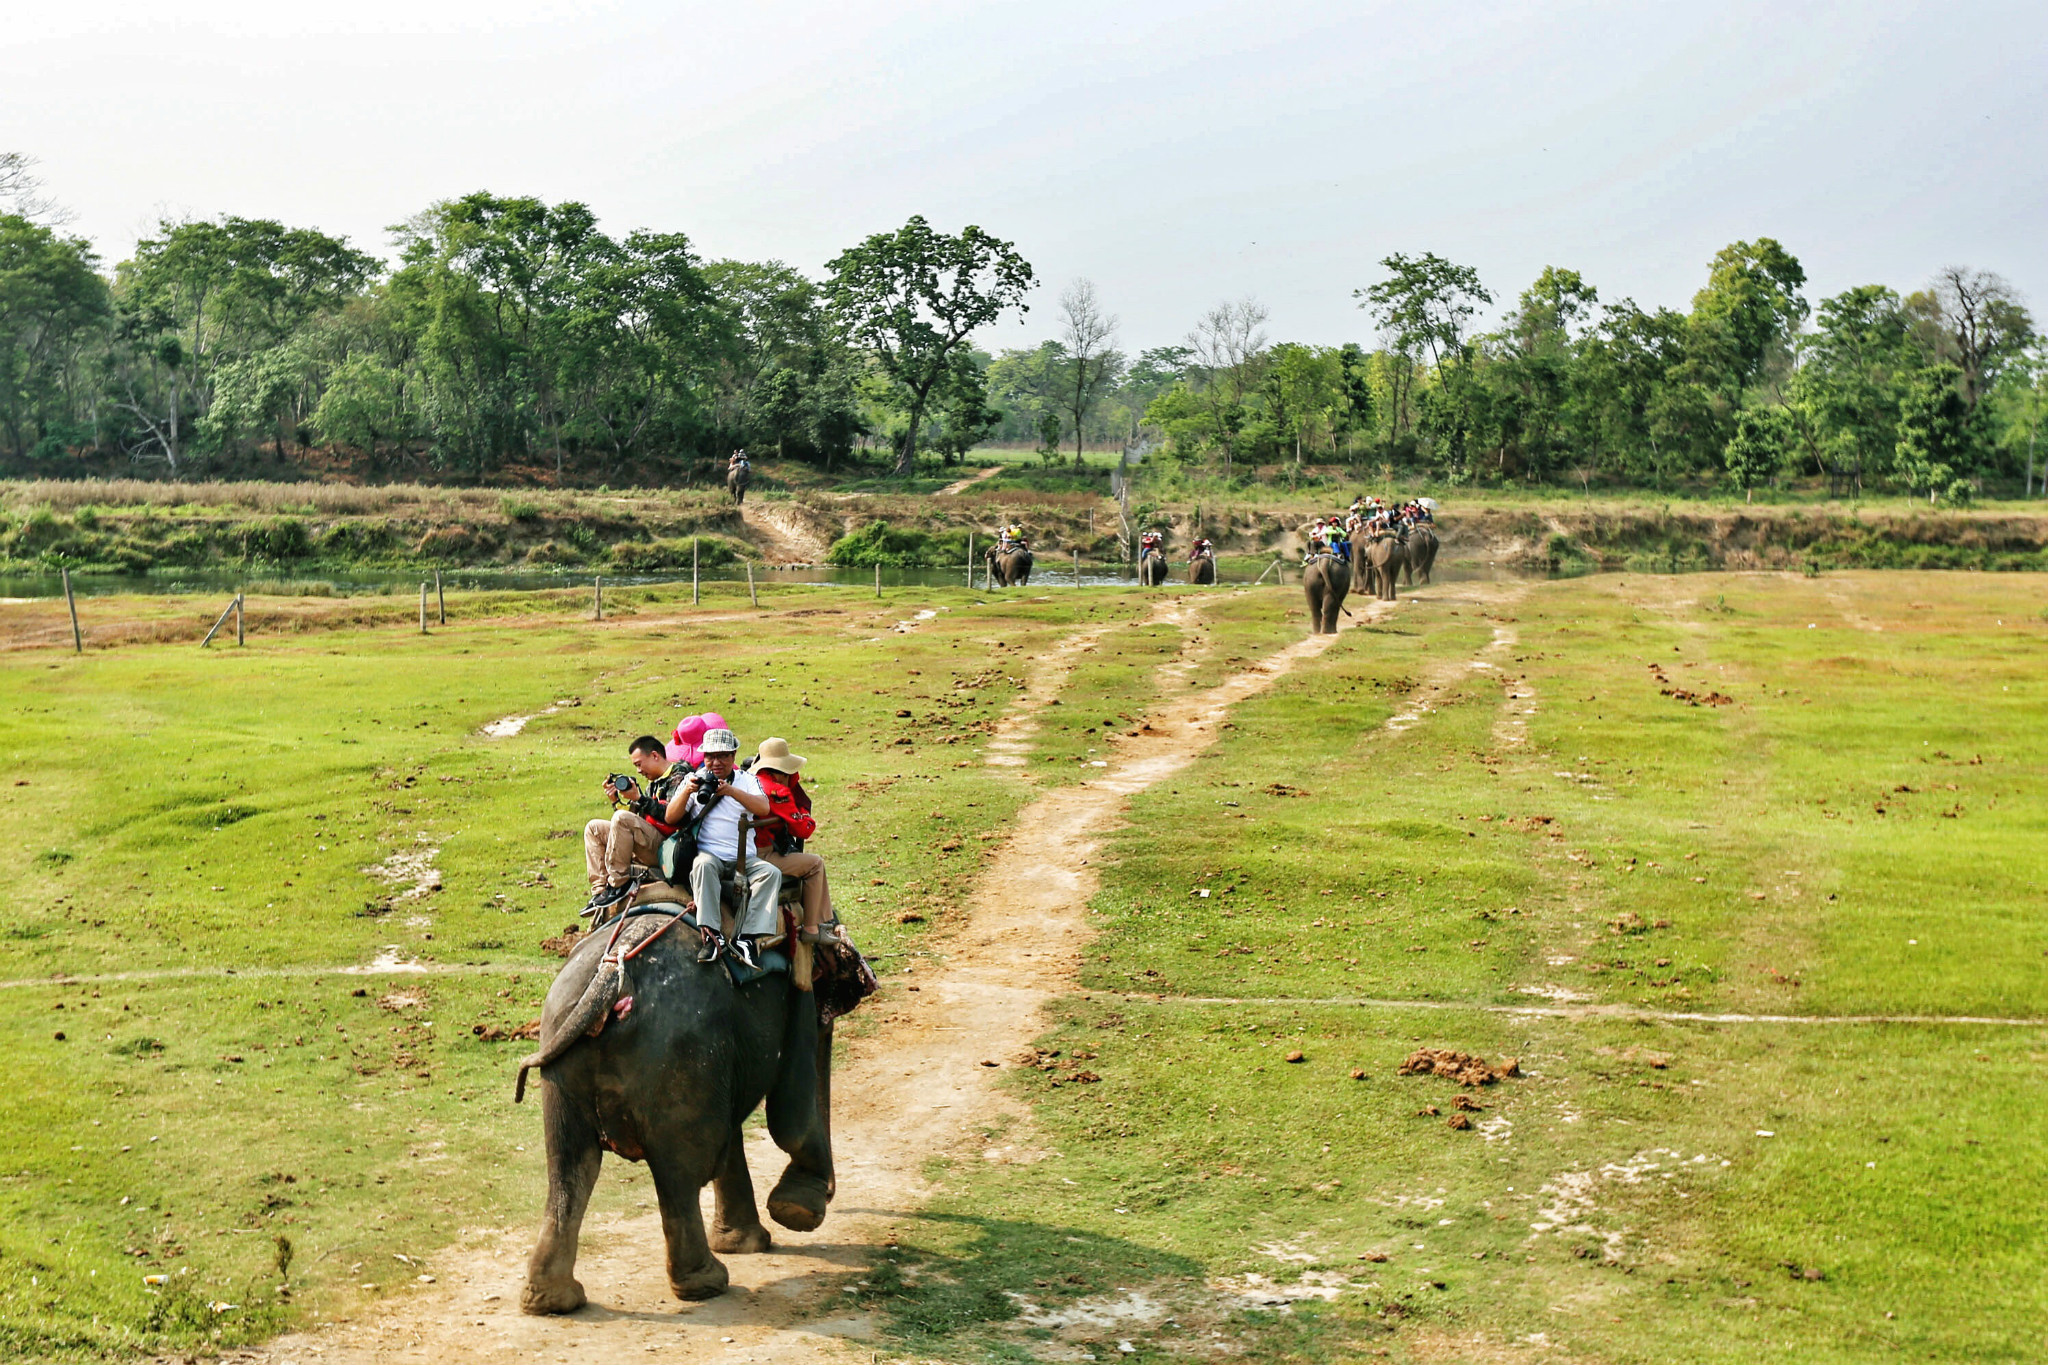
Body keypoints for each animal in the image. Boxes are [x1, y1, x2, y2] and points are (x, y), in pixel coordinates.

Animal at [512, 916, 831, 1309]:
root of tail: (610, 978)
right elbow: (791, 1107)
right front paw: (797, 1211)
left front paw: (748, 1241)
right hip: (681, 1056)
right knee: (679, 1176)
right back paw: (706, 1284)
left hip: (561, 1056)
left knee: (570, 1170)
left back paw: (552, 1300)